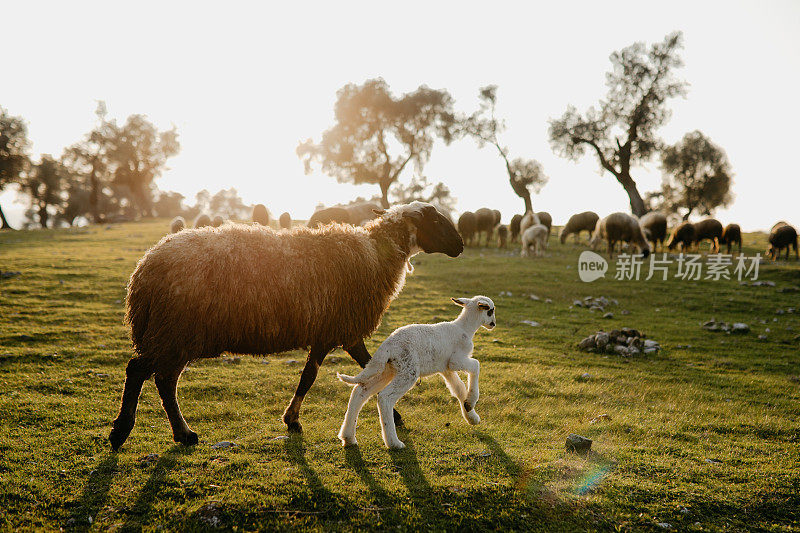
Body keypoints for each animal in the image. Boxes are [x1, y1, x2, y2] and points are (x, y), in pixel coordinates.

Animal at [109, 201, 466, 448]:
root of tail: (145, 270)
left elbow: (323, 374)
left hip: (172, 334)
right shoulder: (343, 330)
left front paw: (292, 418)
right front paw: (294, 420)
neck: (377, 255)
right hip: (174, 331)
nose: (461, 245)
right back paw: (127, 432)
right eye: (436, 219)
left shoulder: (330, 331)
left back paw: (180, 434)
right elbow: (329, 375)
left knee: (163, 381)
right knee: (141, 371)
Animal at [336, 296, 496, 448]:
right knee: (384, 397)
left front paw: (471, 415)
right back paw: (394, 443)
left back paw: (348, 437)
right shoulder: (456, 361)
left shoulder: (446, 368)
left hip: (387, 369)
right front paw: (471, 402)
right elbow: (476, 365)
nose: (493, 324)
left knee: (361, 390)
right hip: (408, 371)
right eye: (490, 311)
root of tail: (387, 345)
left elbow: (459, 388)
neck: (464, 329)